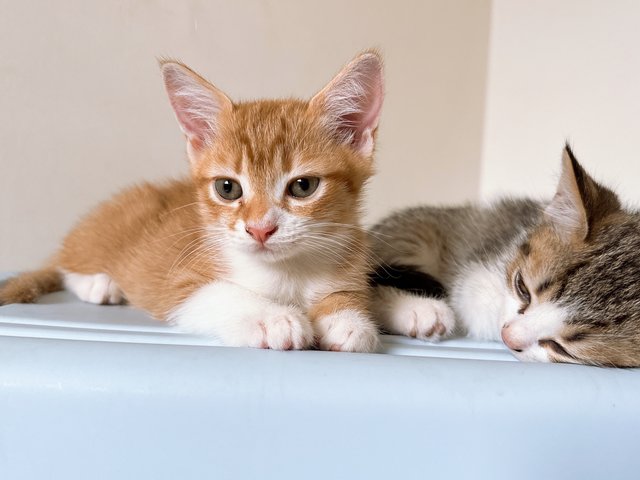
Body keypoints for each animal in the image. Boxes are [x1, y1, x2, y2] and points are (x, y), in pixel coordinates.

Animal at [1, 51, 384, 352]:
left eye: (303, 186)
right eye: (228, 188)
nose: (260, 229)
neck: (286, 273)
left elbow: (351, 292)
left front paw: (348, 318)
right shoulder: (176, 284)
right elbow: (216, 294)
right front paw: (273, 318)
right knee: (66, 268)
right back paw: (99, 284)